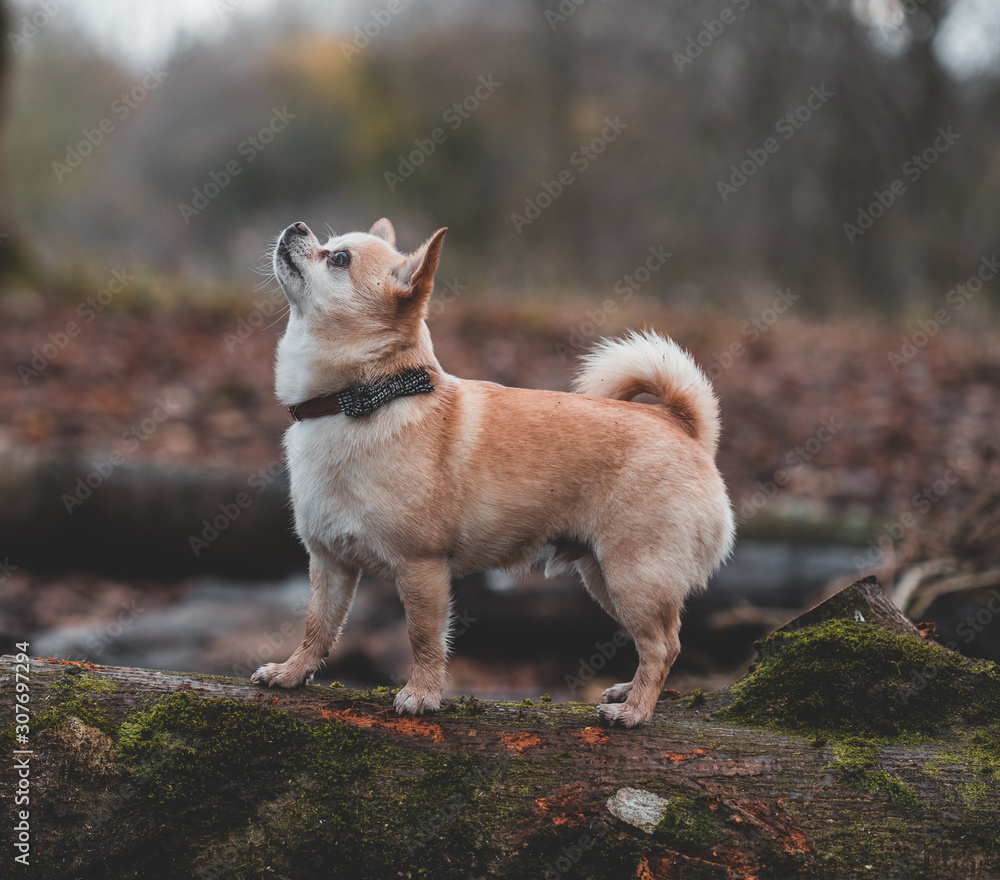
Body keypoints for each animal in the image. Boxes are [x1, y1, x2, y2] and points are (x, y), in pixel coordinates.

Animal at [250, 220, 736, 728]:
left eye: (339, 259)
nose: (297, 226)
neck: (361, 399)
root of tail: (682, 425)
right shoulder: (330, 564)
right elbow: (317, 627)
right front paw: (292, 673)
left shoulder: (421, 570)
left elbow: (424, 638)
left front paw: (421, 695)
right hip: (603, 578)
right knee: (658, 641)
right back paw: (628, 690)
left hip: (634, 578)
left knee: (663, 645)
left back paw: (636, 711)